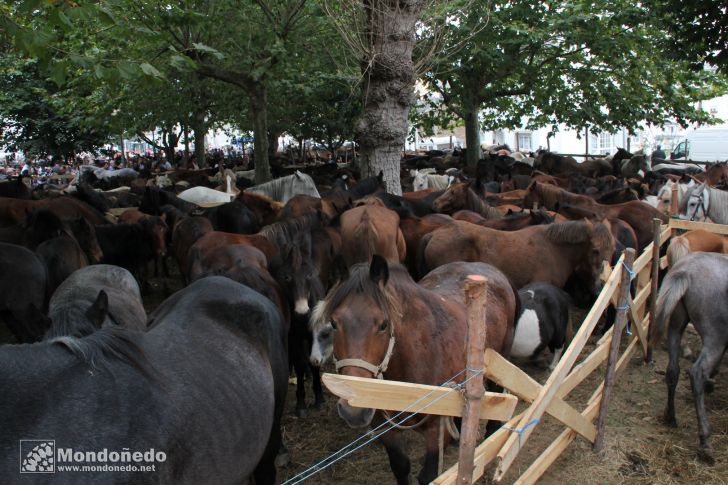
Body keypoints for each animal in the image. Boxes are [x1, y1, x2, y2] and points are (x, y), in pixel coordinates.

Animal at [312, 255, 516, 482]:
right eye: (333, 323)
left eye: (383, 325)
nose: (353, 410)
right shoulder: (386, 429)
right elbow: (400, 466)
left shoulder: (436, 431)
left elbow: (428, 475)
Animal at [648, 251, 728, 464]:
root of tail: (686, 271)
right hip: (716, 335)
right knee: (697, 373)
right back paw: (705, 441)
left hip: (676, 324)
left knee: (672, 371)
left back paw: (670, 416)